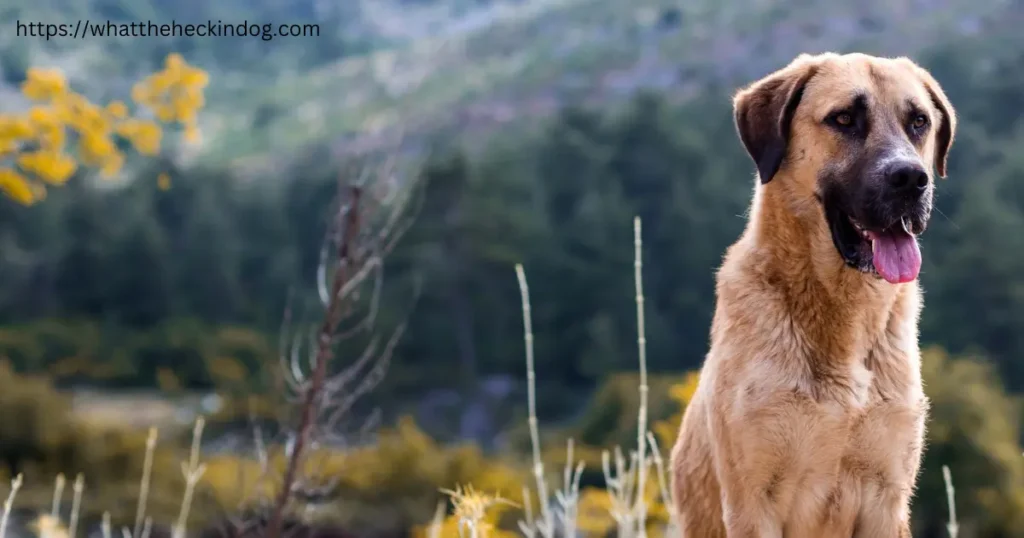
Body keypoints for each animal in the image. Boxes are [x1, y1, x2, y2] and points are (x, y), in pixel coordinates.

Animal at [667, 51, 954, 536]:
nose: (912, 179)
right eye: (843, 119)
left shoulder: (887, 499)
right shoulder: (753, 502)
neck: (844, 315)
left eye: (918, 121)